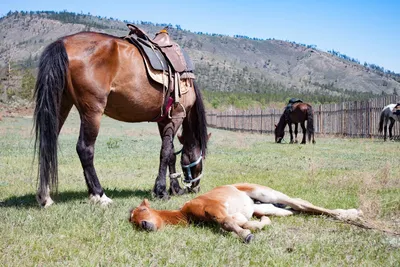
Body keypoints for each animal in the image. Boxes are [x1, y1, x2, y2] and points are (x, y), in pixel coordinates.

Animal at [32, 30, 208, 208]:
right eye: (203, 157)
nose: (196, 187)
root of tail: (63, 43)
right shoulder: (176, 117)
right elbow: (165, 153)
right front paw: (162, 191)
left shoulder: (164, 121)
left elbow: (170, 153)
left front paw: (174, 188)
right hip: (92, 111)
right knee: (84, 149)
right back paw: (100, 195)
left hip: (61, 105)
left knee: (47, 143)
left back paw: (45, 196)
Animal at [130, 183, 364, 244]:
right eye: (132, 222)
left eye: (143, 210)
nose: (144, 225)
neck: (186, 213)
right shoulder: (238, 215)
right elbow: (247, 222)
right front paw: (257, 226)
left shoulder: (214, 209)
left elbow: (227, 224)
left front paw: (246, 236)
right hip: (264, 205)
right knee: (296, 209)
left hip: (265, 192)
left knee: (300, 203)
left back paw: (352, 215)